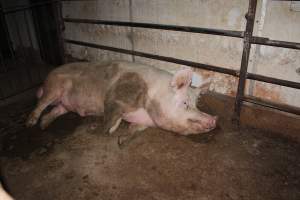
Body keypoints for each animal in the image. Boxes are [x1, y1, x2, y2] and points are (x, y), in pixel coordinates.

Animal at [26, 60, 216, 143]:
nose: (213, 119)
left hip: (65, 104)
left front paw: (121, 140)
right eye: (185, 103)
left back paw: (43, 126)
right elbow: (111, 118)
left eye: (196, 105)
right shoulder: (114, 98)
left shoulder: (145, 120)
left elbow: (135, 129)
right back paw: (30, 124)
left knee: (56, 110)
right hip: (53, 87)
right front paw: (100, 130)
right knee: (41, 104)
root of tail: (49, 75)